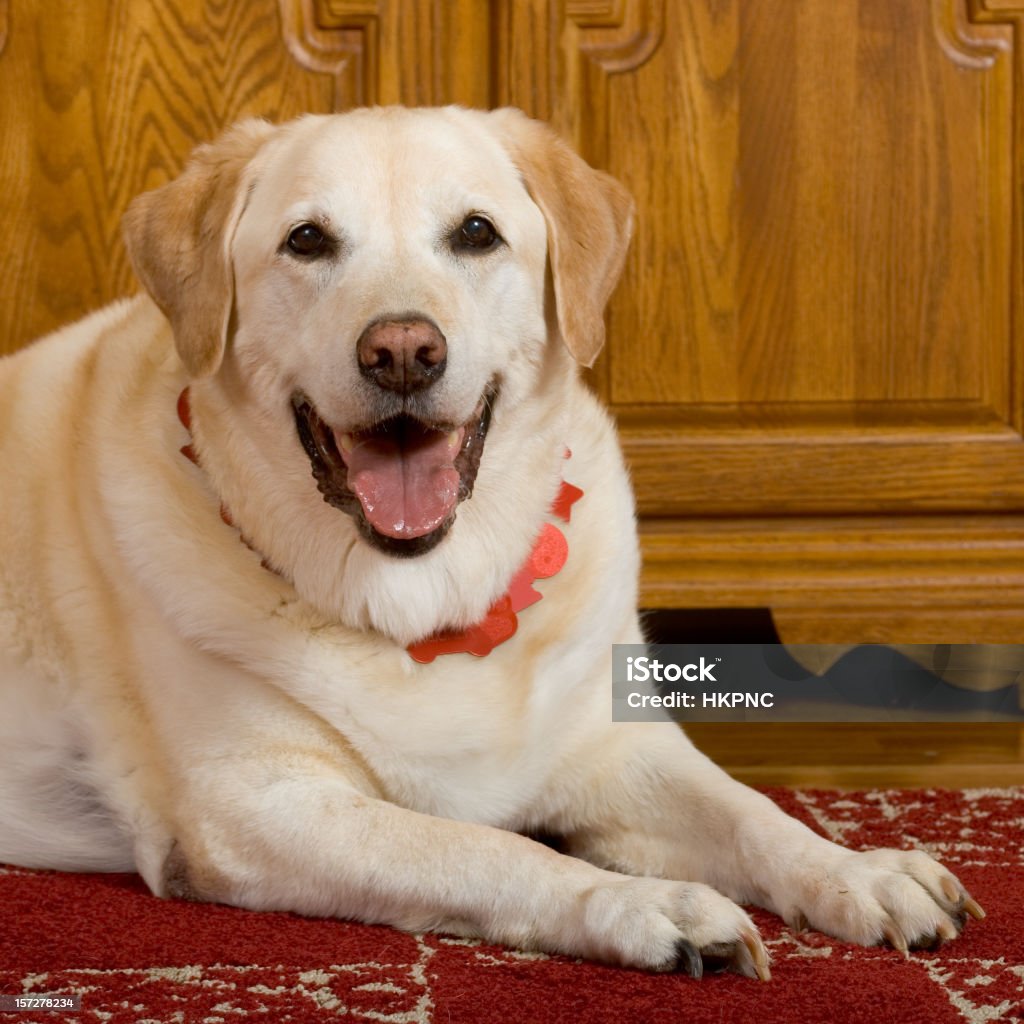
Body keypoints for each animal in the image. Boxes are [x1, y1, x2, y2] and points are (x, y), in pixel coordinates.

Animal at [0, 105, 978, 974]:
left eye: (476, 233)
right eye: (307, 241)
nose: (403, 351)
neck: (427, 601)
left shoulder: (616, 745)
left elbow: (751, 813)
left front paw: (858, 871)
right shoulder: (251, 808)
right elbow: (487, 849)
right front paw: (643, 906)